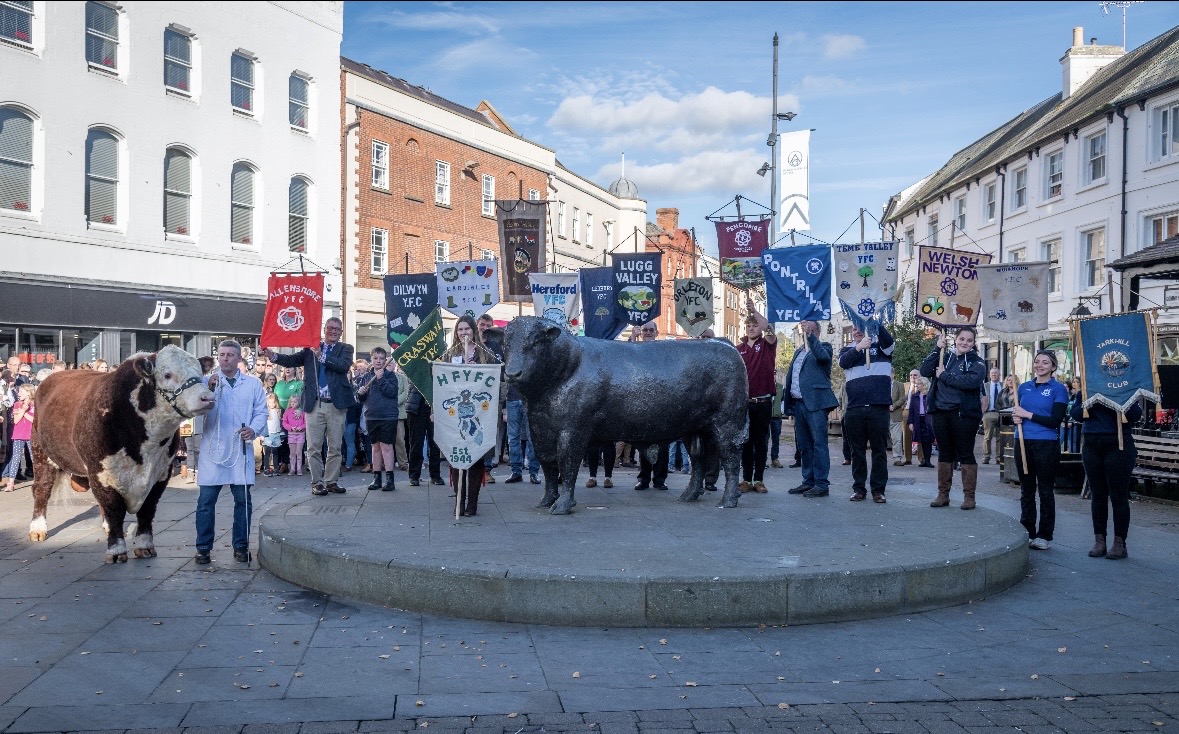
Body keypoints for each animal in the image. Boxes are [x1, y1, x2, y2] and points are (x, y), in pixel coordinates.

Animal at [28, 346, 215, 565]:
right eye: (167, 374)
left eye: (199, 373)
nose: (208, 397)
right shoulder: (100, 472)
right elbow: (114, 508)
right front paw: (116, 550)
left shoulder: (161, 473)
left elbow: (147, 510)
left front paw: (144, 546)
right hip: (41, 453)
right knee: (42, 489)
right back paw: (37, 529)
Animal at [504, 318, 745, 516]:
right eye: (507, 343)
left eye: (535, 341)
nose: (512, 374)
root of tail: (724, 344)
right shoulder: (540, 431)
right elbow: (549, 469)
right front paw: (546, 501)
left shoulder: (572, 432)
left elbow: (568, 466)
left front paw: (562, 505)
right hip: (694, 429)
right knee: (698, 460)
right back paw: (689, 495)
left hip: (727, 424)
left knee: (731, 459)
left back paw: (728, 501)